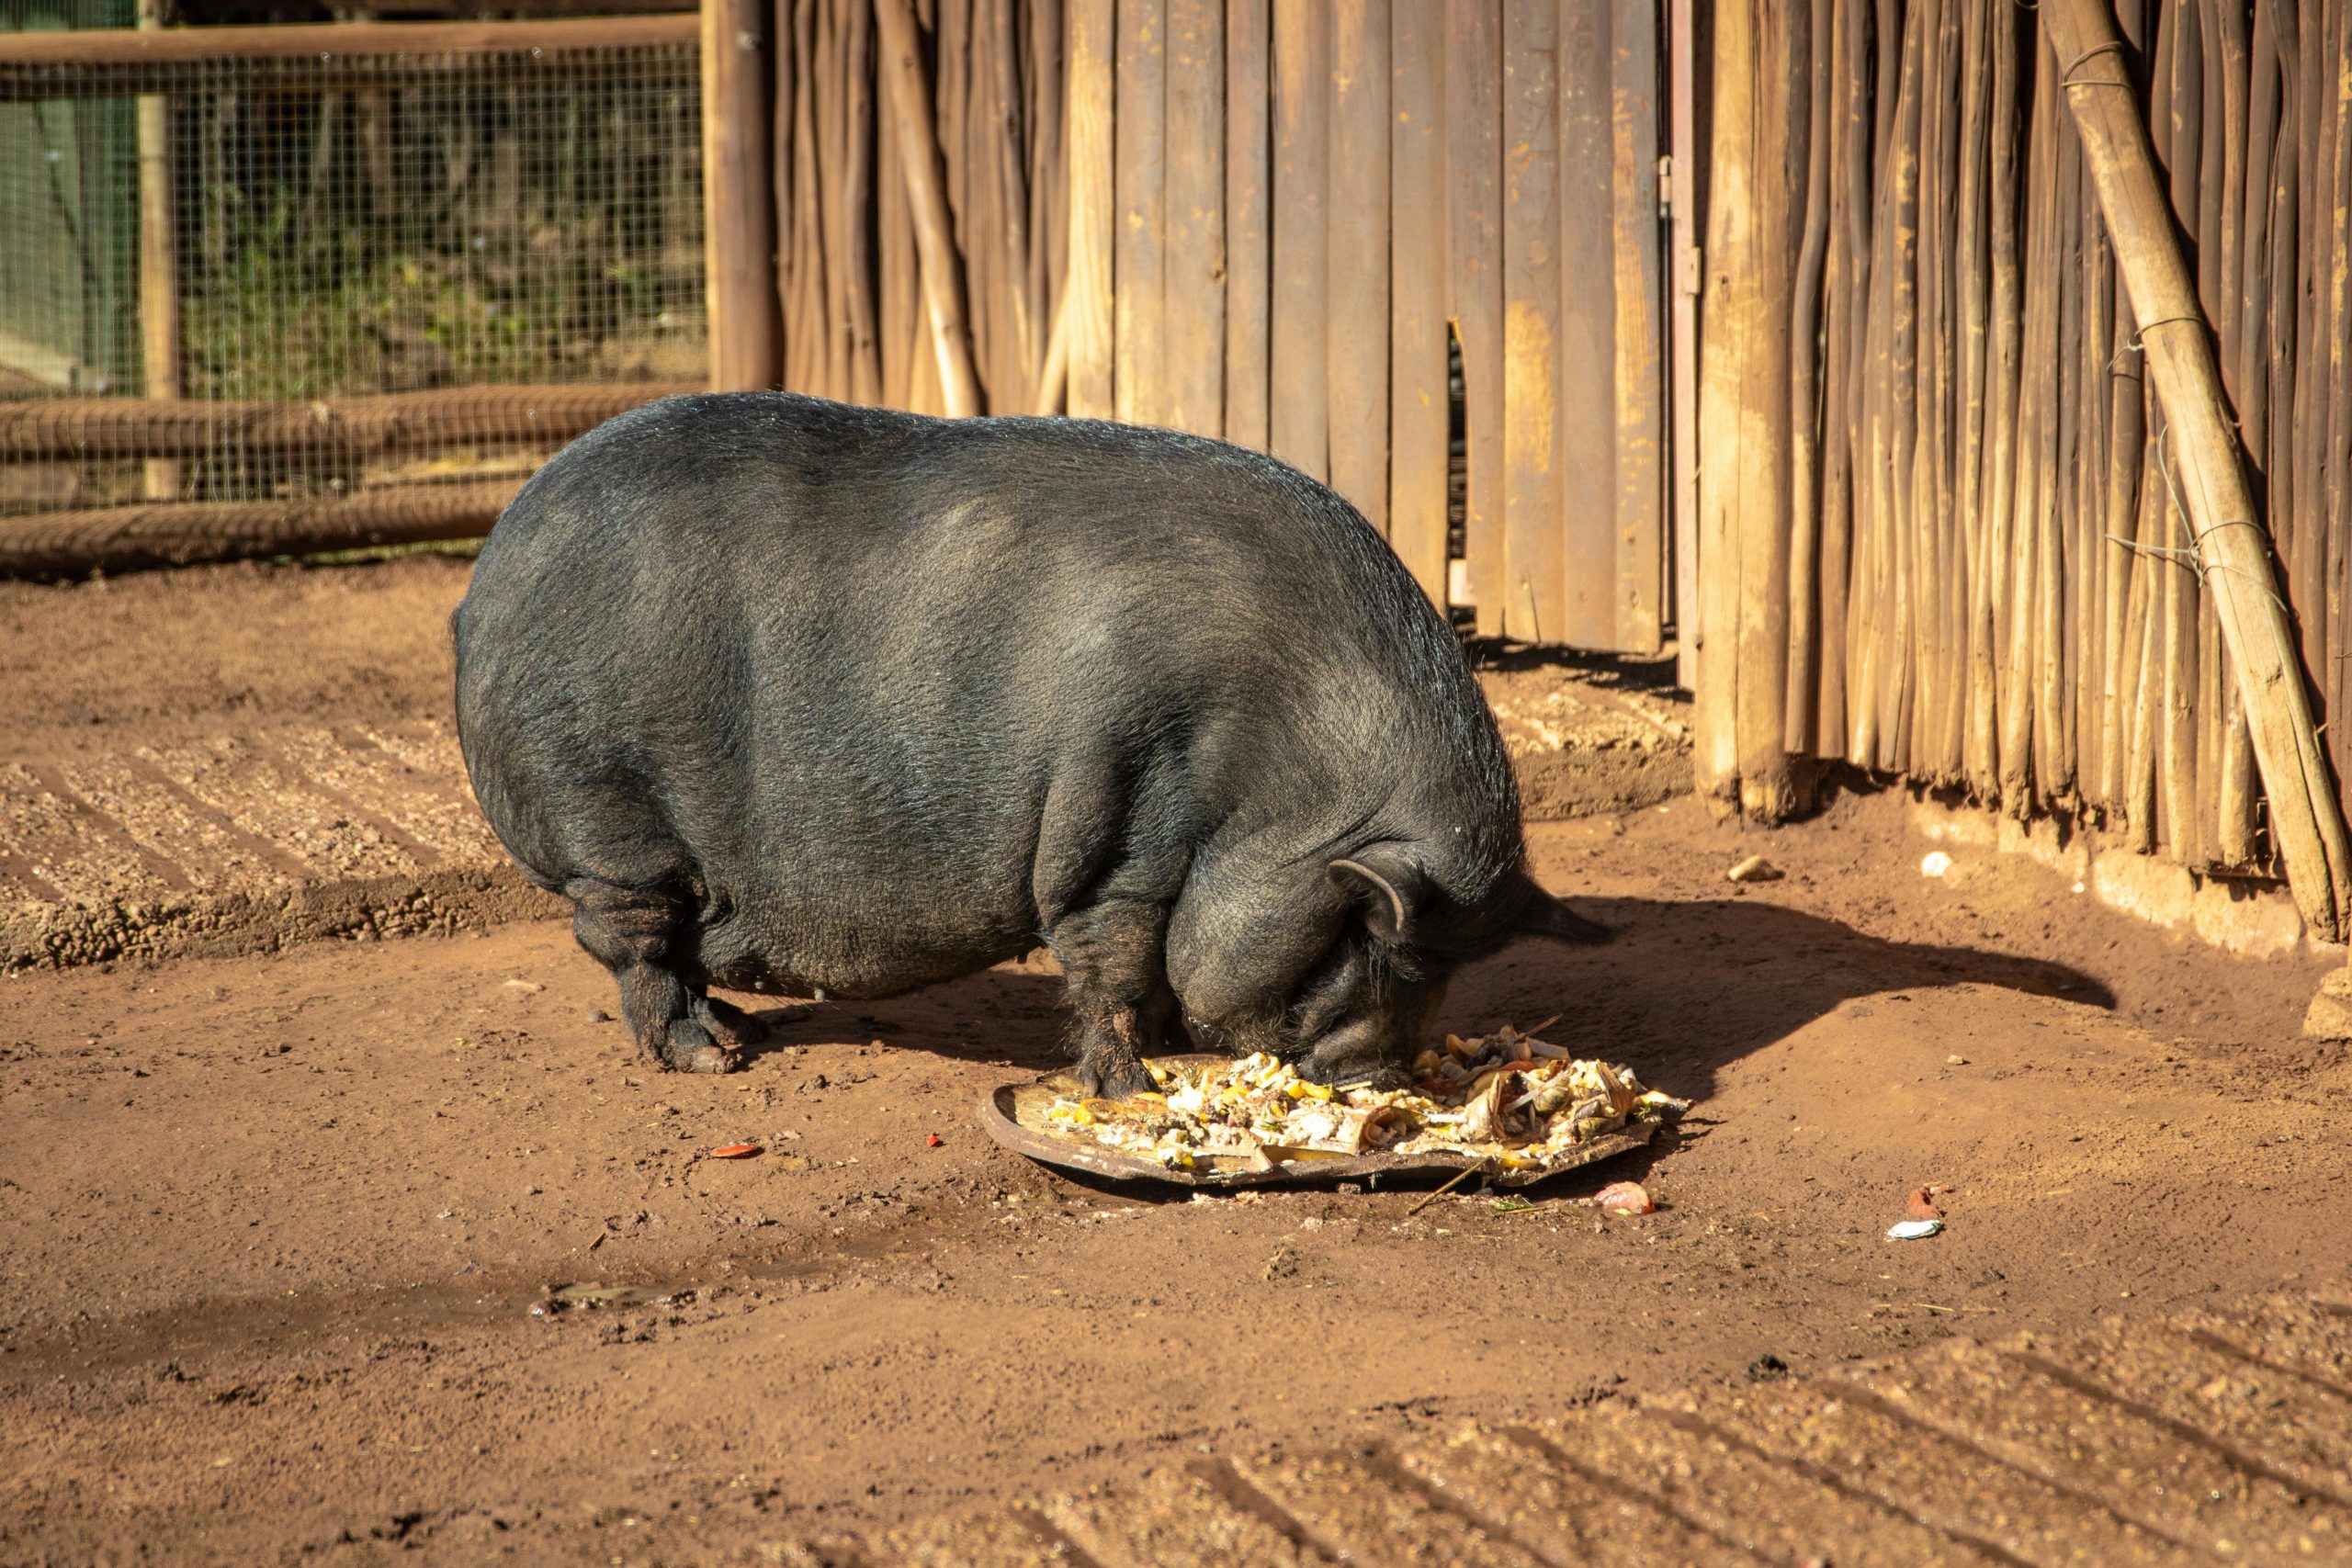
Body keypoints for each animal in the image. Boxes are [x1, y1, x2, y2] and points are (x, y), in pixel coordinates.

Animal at [451, 394, 1609, 1090]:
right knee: (635, 948)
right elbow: (1112, 962)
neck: (1284, 788)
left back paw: (751, 1030)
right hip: (607, 822)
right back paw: (719, 1058)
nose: (1385, 1080)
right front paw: (1135, 1086)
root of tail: (485, 575)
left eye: (1450, 970)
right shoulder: (1120, 821)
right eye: (1376, 945)